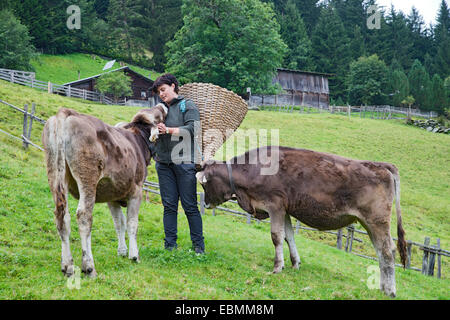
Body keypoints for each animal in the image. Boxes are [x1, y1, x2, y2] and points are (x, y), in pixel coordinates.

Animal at [41, 104, 167, 276]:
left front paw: (122, 251)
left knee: (62, 216)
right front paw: (134, 255)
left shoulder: (112, 197)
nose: (162, 105)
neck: (138, 142)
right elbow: (132, 223)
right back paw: (88, 266)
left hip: (55, 174)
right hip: (88, 177)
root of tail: (65, 113)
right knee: (84, 216)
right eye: (158, 117)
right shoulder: (136, 191)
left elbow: (119, 223)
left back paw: (68, 265)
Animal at [197, 146, 408, 296]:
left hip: (377, 220)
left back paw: (390, 291)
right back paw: (382, 287)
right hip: (369, 223)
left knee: (387, 251)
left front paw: (277, 267)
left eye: (205, 184)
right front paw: (295, 263)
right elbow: (288, 237)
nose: (205, 203)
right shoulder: (285, 210)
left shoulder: (275, 205)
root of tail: (381, 165)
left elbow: (276, 236)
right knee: (380, 252)